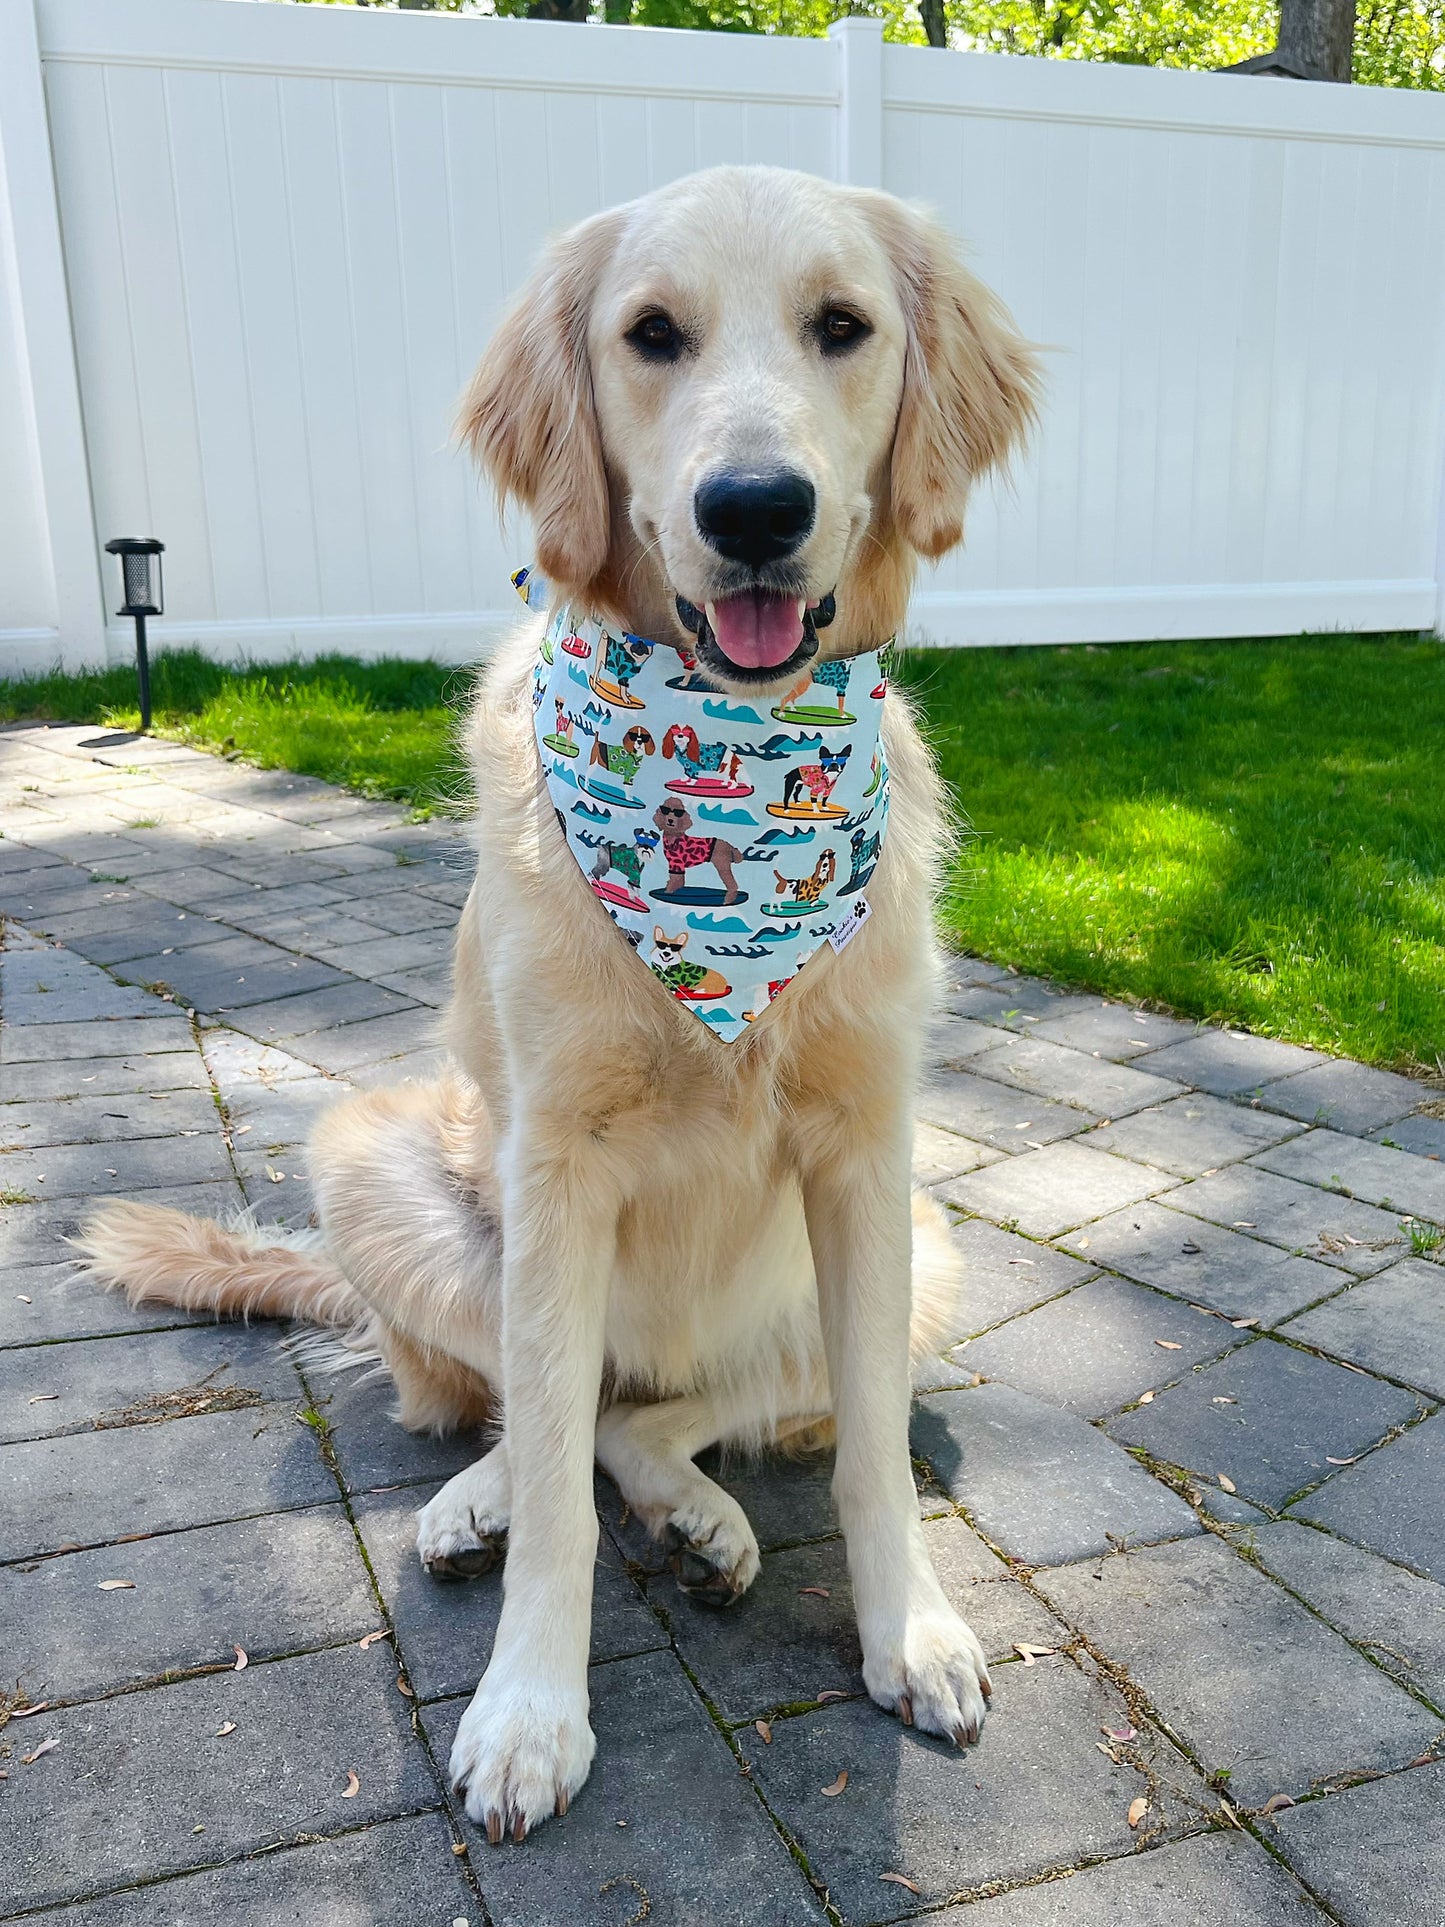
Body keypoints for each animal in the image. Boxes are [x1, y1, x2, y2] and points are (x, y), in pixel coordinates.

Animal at [81, 173, 1040, 1842]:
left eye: (841, 325)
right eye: (651, 334)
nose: (754, 509)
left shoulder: (872, 1152)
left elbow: (866, 1449)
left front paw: (909, 1629)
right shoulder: (556, 1156)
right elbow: (545, 1483)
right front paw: (529, 1706)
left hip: (928, 1252)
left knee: (650, 1414)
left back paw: (701, 1515)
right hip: (377, 1159)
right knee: (543, 1415)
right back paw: (479, 1505)